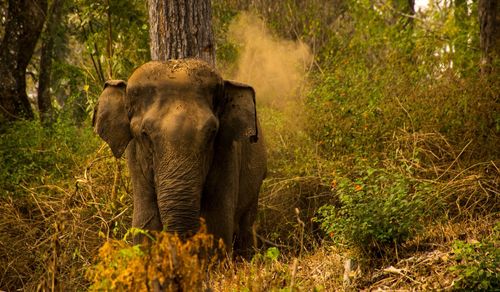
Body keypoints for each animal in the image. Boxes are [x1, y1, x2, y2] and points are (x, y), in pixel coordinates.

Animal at [92, 58, 268, 256]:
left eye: (212, 133)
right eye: (145, 134)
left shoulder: (227, 154)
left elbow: (218, 225)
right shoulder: (135, 159)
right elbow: (145, 223)